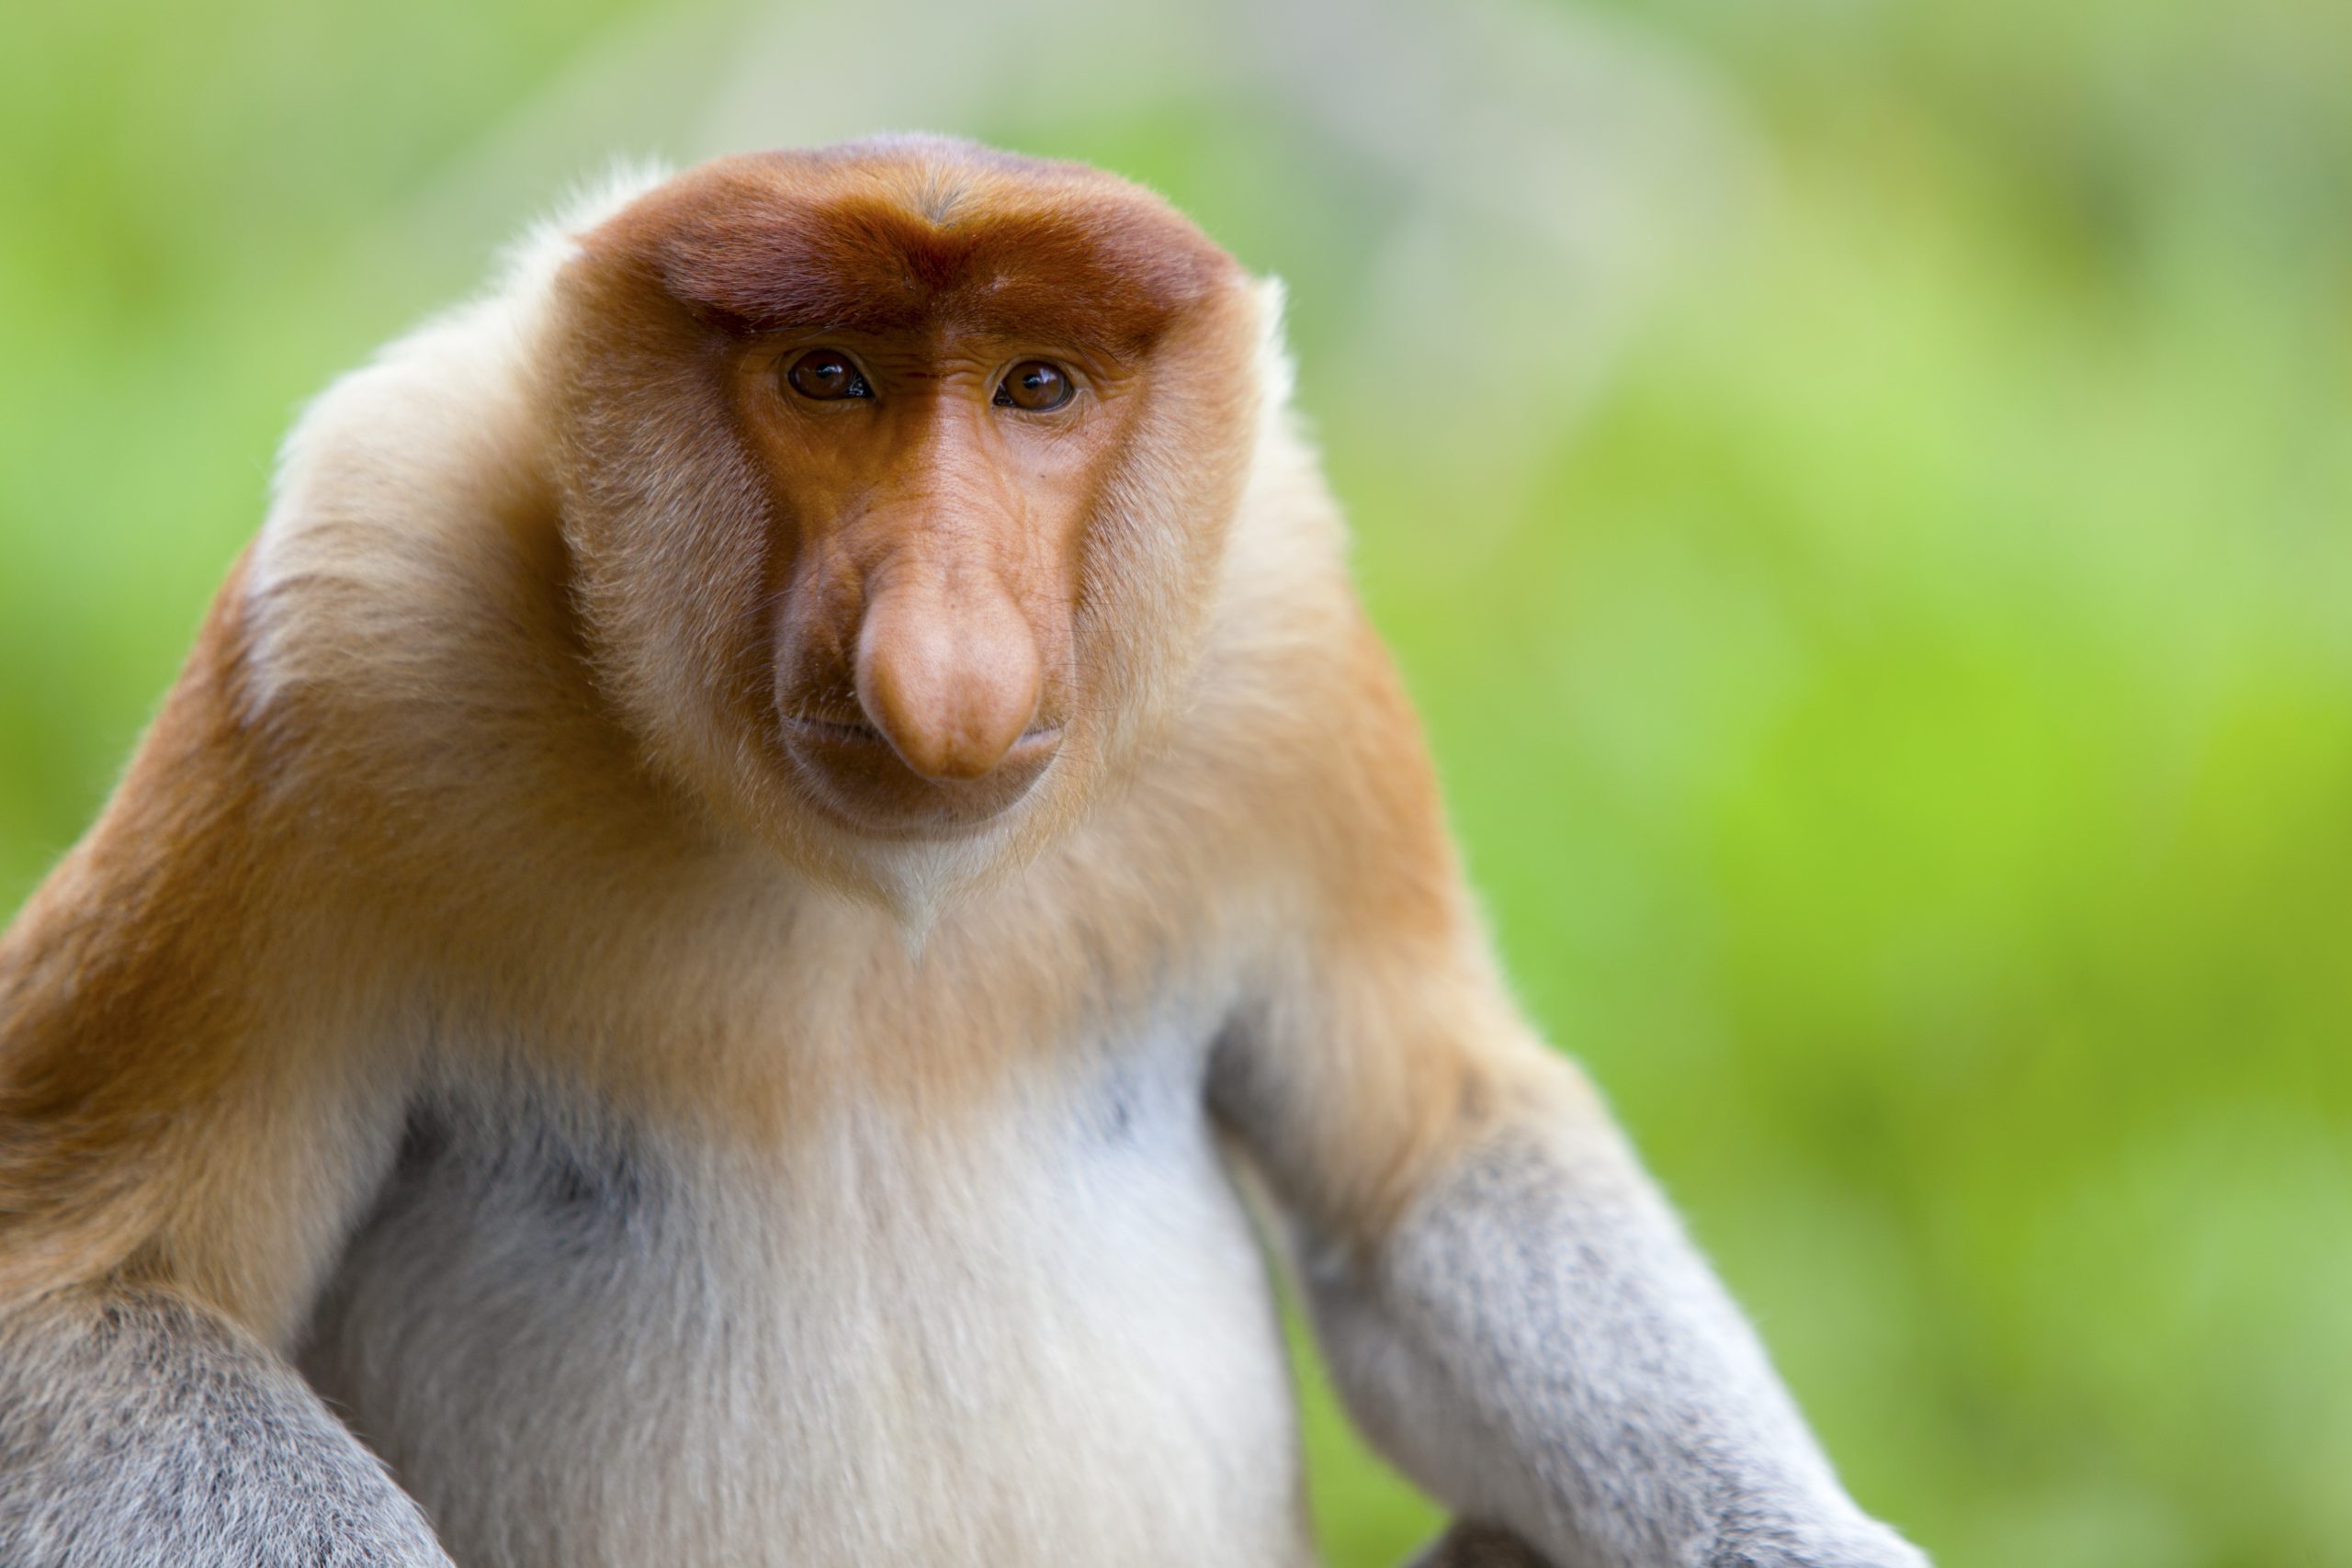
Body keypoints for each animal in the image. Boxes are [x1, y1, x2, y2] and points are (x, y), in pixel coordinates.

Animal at [0, 138, 1928, 1568]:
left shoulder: (1287, 649)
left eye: (1037, 386)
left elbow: (1424, 1158)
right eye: (829, 377)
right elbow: (88, 1291)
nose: (944, 661)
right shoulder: (344, 642)